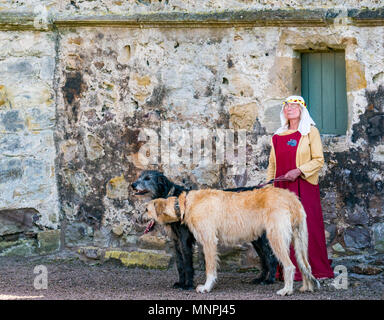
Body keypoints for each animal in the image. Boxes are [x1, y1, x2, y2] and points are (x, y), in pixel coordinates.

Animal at [132, 170, 280, 290]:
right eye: (139, 176)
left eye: (148, 178)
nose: (133, 185)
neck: (171, 199)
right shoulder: (176, 240)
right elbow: (179, 263)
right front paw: (180, 283)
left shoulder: (185, 239)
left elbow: (187, 263)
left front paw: (188, 285)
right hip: (256, 237)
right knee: (264, 258)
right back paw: (260, 278)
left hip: (262, 237)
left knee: (271, 257)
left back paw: (269, 280)